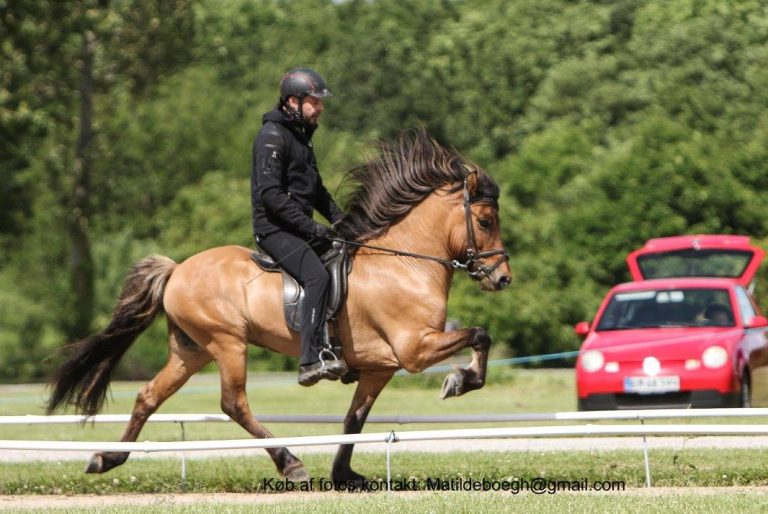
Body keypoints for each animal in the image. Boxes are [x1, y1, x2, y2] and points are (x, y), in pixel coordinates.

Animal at [46, 128, 510, 484]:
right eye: (485, 222)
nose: (502, 278)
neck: (405, 262)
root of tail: (176, 270)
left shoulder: (381, 366)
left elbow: (354, 419)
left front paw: (344, 474)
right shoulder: (414, 349)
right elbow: (480, 335)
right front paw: (459, 380)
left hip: (191, 350)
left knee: (148, 396)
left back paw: (106, 458)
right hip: (227, 341)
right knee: (233, 404)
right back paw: (290, 463)